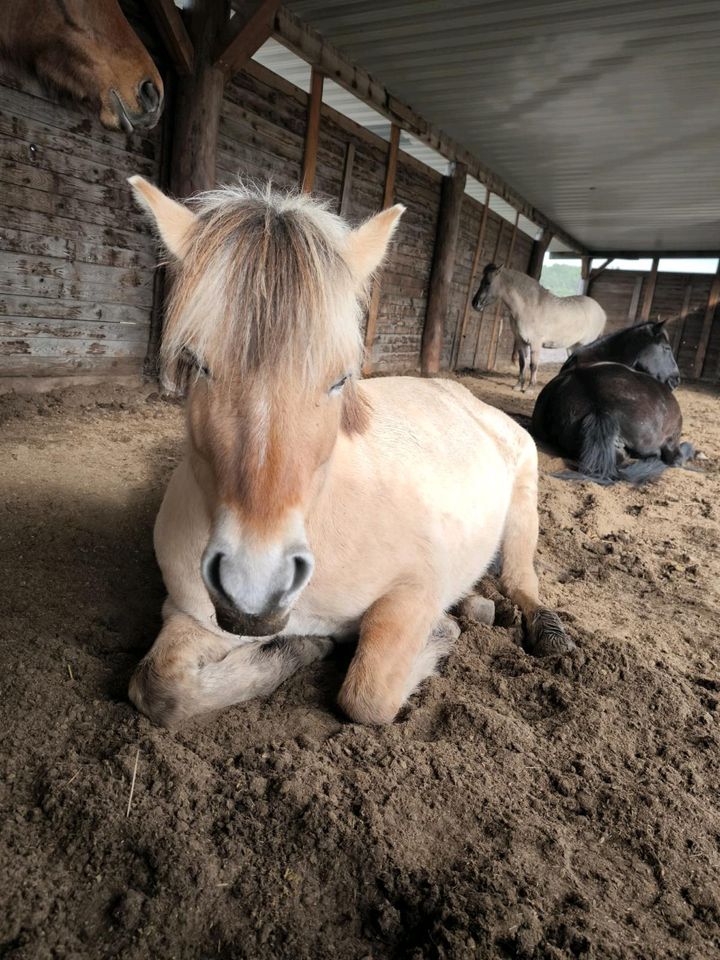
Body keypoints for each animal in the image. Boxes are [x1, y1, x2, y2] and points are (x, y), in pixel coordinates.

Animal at [125, 176, 572, 728]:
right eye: (197, 364)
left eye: (340, 378)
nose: (256, 585)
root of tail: (459, 394)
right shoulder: (192, 613)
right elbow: (159, 687)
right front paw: (300, 648)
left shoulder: (413, 592)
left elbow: (368, 695)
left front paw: (441, 633)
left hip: (523, 498)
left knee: (520, 583)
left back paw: (538, 628)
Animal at [472, 262, 608, 390]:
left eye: (487, 283)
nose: (475, 304)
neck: (529, 307)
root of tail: (602, 312)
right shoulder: (520, 341)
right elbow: (522, 363)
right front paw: (518, 386)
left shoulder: (535, 343)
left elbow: (533, 365)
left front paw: (530, 388)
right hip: (572, 346)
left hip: (584, 345)